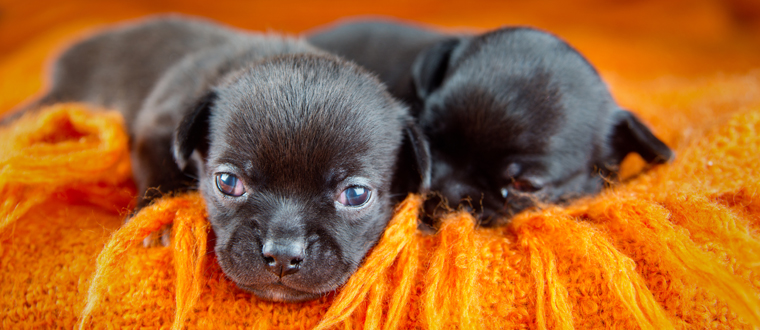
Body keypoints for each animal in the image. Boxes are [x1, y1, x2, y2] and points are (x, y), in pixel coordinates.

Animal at [8, 16, 430, 302]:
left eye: (356, 195)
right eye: (228, 183)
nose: (282, 254)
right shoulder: (157, 128)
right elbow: (161, 171)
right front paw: (162, 217)